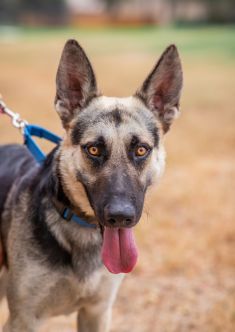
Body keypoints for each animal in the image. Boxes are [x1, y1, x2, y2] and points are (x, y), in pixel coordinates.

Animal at [0, 39, 183, 332]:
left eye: (141, 150)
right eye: (94, 149)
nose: (120, 217)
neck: (80, 228)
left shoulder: (97, 312)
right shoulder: (23, 320)